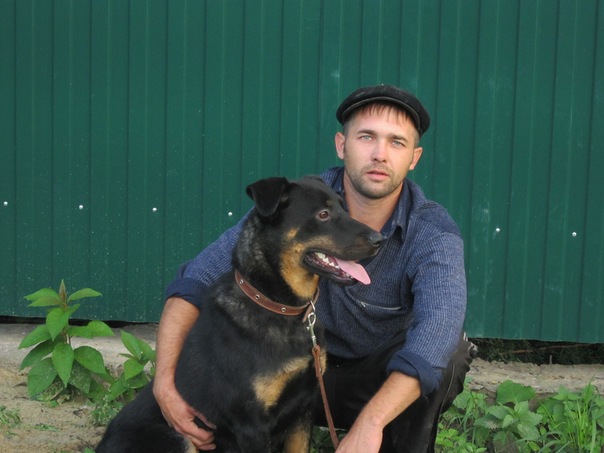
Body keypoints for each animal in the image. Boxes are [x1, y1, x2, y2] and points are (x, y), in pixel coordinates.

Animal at [96, 176, 382, 453]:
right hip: (177, 437)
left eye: (344, 209)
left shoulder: (305, 407)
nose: (379, 240)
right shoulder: (252, 424)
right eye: (323, 214)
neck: (278, 307)